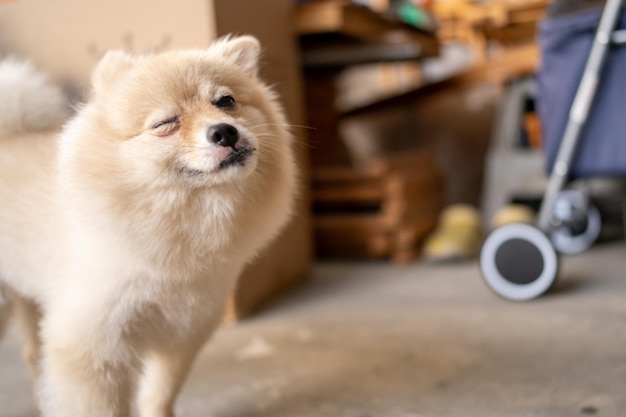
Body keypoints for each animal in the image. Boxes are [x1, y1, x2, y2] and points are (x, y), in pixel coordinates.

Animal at [0, 36, 296, 416]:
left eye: (226, 102)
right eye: (166, 122)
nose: (225, 131)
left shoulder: (183, 333)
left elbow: (159, 393)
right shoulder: (91, 346)